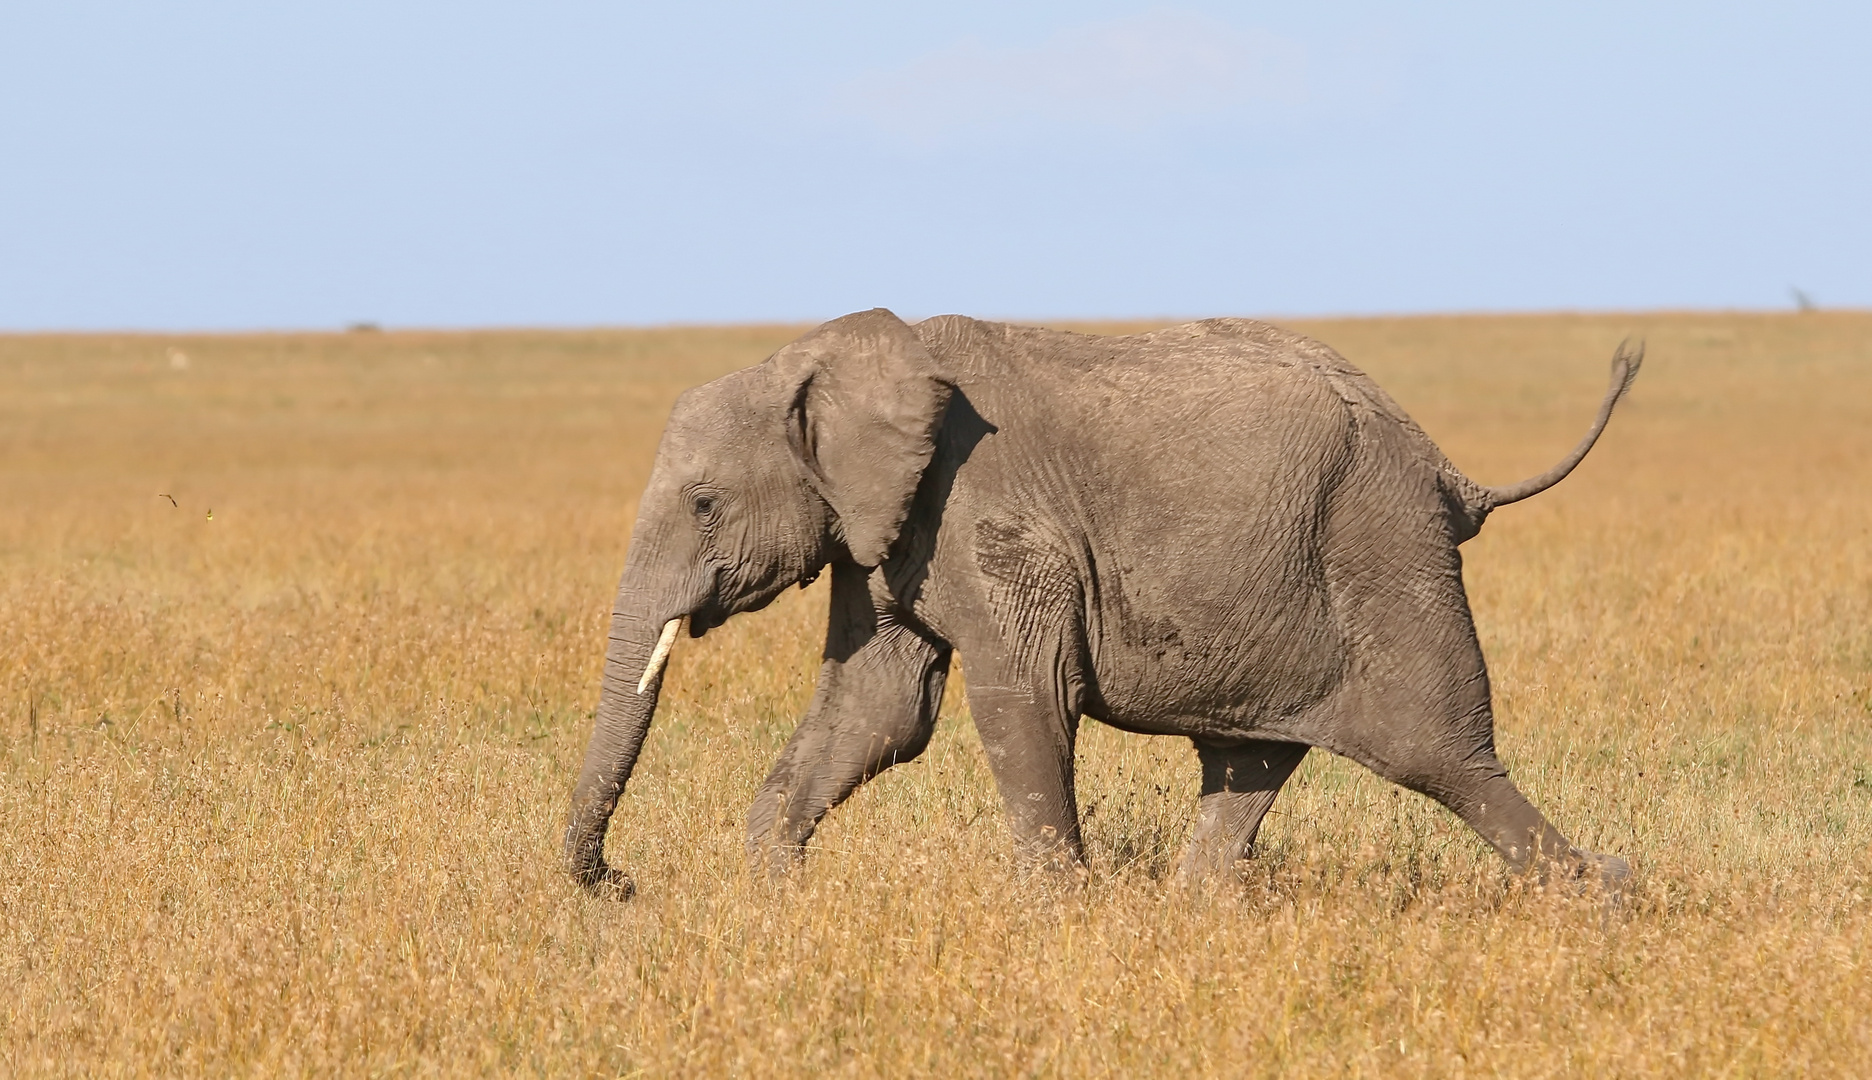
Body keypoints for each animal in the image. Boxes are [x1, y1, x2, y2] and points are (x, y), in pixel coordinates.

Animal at [561, 306, 1647, 898]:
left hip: (1383, 548)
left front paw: (1057, 917)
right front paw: (773, 894)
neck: (827, 357)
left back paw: (1606, 897)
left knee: (1446, 757)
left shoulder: (991, 516)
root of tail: (1449, 472)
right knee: (1252, 761)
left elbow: (1020, 700)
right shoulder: (881, 535)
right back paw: (1197, 916)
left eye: (703, 503)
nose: (622, 881)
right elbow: (879, 710)